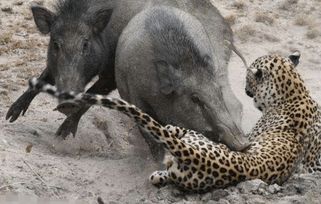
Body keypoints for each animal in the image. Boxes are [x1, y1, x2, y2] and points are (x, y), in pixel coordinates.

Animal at [27, 51, 320, 191]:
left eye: (249, 77)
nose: (246, 87)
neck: (294, 90)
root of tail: (198, 158)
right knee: (163, 168)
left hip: (189, 140)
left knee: (168, 136)